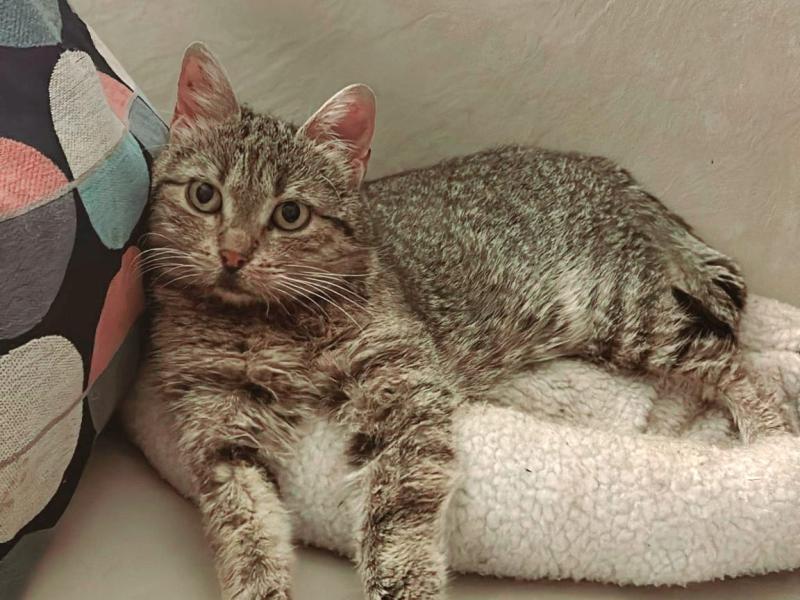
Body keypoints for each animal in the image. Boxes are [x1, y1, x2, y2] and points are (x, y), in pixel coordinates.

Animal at [135, 42, 793, 600]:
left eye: (290, 214)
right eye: (203, 196)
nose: (232, 255)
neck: (267, 323)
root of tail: (604, 170)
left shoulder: (404, 386)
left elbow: (398, 507)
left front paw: (403, 584)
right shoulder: (216, 420)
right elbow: (243, 523)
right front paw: (258, 582)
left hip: (625, 312)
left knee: (733, 362)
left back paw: (771, 442)